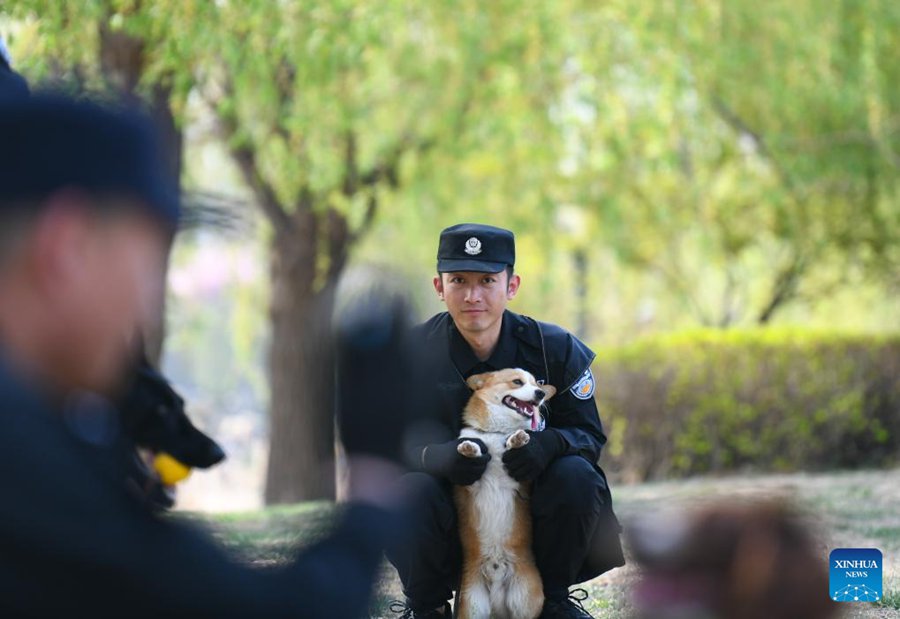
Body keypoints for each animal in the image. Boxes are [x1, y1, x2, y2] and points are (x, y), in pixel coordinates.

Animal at [458, 370, 556, 616]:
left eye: (537, 384)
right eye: (517, 382)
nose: (540, 394)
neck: (496, 432)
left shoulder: (520, 483)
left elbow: (514, 444)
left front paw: (517, 439)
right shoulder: (470, 487)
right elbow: (473, 447)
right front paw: (470, 448)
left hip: (524, 599)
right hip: (472, 604)